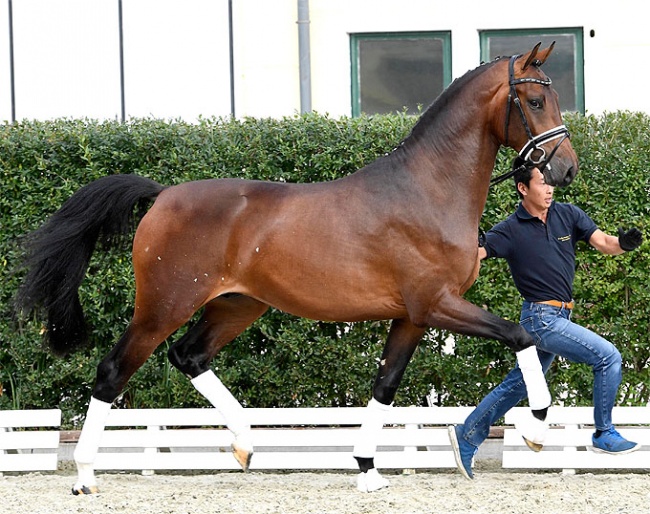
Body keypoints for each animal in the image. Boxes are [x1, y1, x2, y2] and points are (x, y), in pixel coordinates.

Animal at [15, 42, 576, 490]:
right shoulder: (437, 304)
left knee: (190, 356)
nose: (566, 169)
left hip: (237, 305)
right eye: (533, 100)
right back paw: (86, 477)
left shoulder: (412, 317)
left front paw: (367, 470)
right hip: (163, 304)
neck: (428, 190)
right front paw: (535, 429)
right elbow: (521, 336)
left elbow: (385, 386)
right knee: (114, 372)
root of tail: (163, 196)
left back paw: (244, 443)